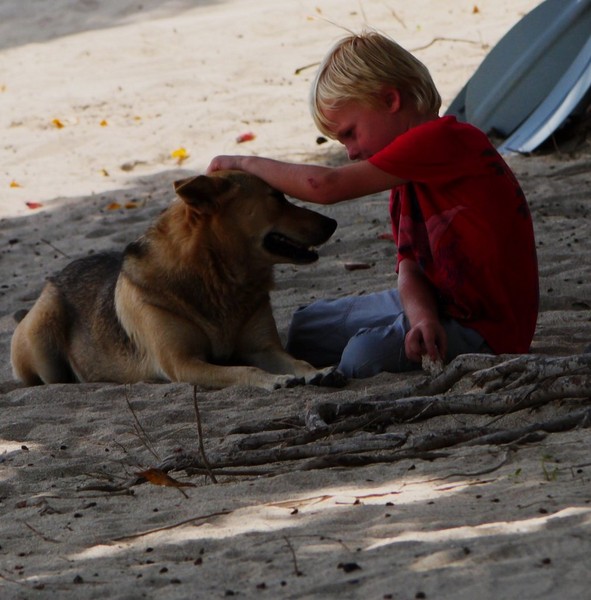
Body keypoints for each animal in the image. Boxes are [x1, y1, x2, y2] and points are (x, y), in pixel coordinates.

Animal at [10, 171, 346, 392]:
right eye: (277, 197)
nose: (333, 222)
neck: (219, 278)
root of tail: (54, 279)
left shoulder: (263, 348)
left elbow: (298, 362)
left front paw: (317, 370)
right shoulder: (184, 363)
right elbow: (243, 369)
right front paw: (273, 379)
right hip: (43, 335)